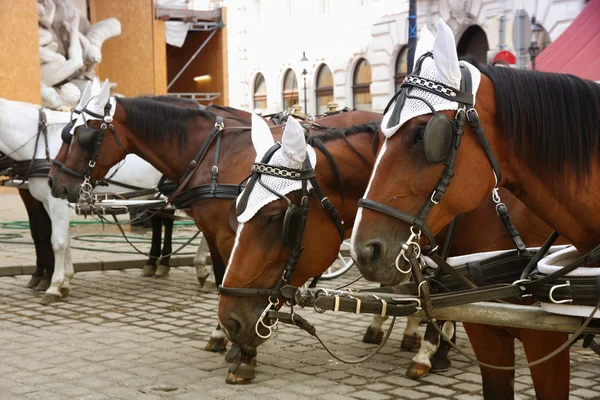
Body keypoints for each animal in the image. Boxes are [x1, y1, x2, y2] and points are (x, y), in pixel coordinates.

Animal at [350, 21, 592, 400]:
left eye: (424, 134)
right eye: (378, 140)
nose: (363, 251)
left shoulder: (545, 339)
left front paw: (427, 352)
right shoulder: (484, 326)